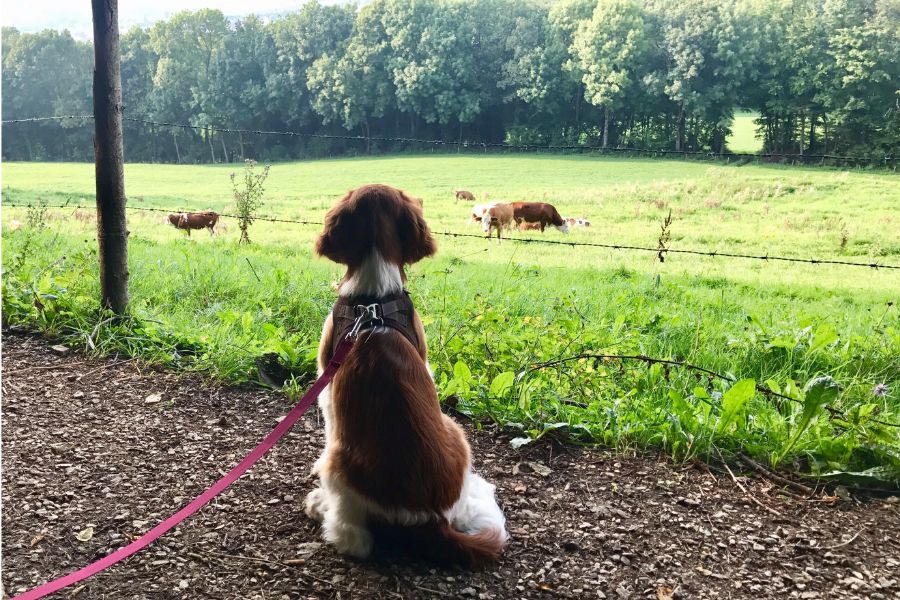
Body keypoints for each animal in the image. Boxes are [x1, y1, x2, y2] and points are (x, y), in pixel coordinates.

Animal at [308, 184, 506, 568]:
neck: (373, 301)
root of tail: (428, 520)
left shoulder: (328, 382)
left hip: (340, 462)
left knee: (354, 539)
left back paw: (321, 507)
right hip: (456, 434)